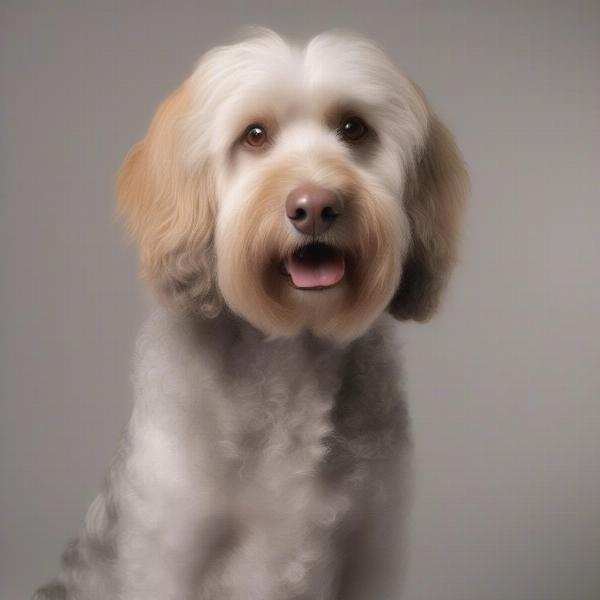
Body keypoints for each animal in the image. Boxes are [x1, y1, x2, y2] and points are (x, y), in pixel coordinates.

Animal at [35, 28, 468, 600]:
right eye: (255, 135)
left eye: (353, 128)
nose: (315, 206)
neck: (292, 354)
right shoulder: (169, 552)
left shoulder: (370, 549)